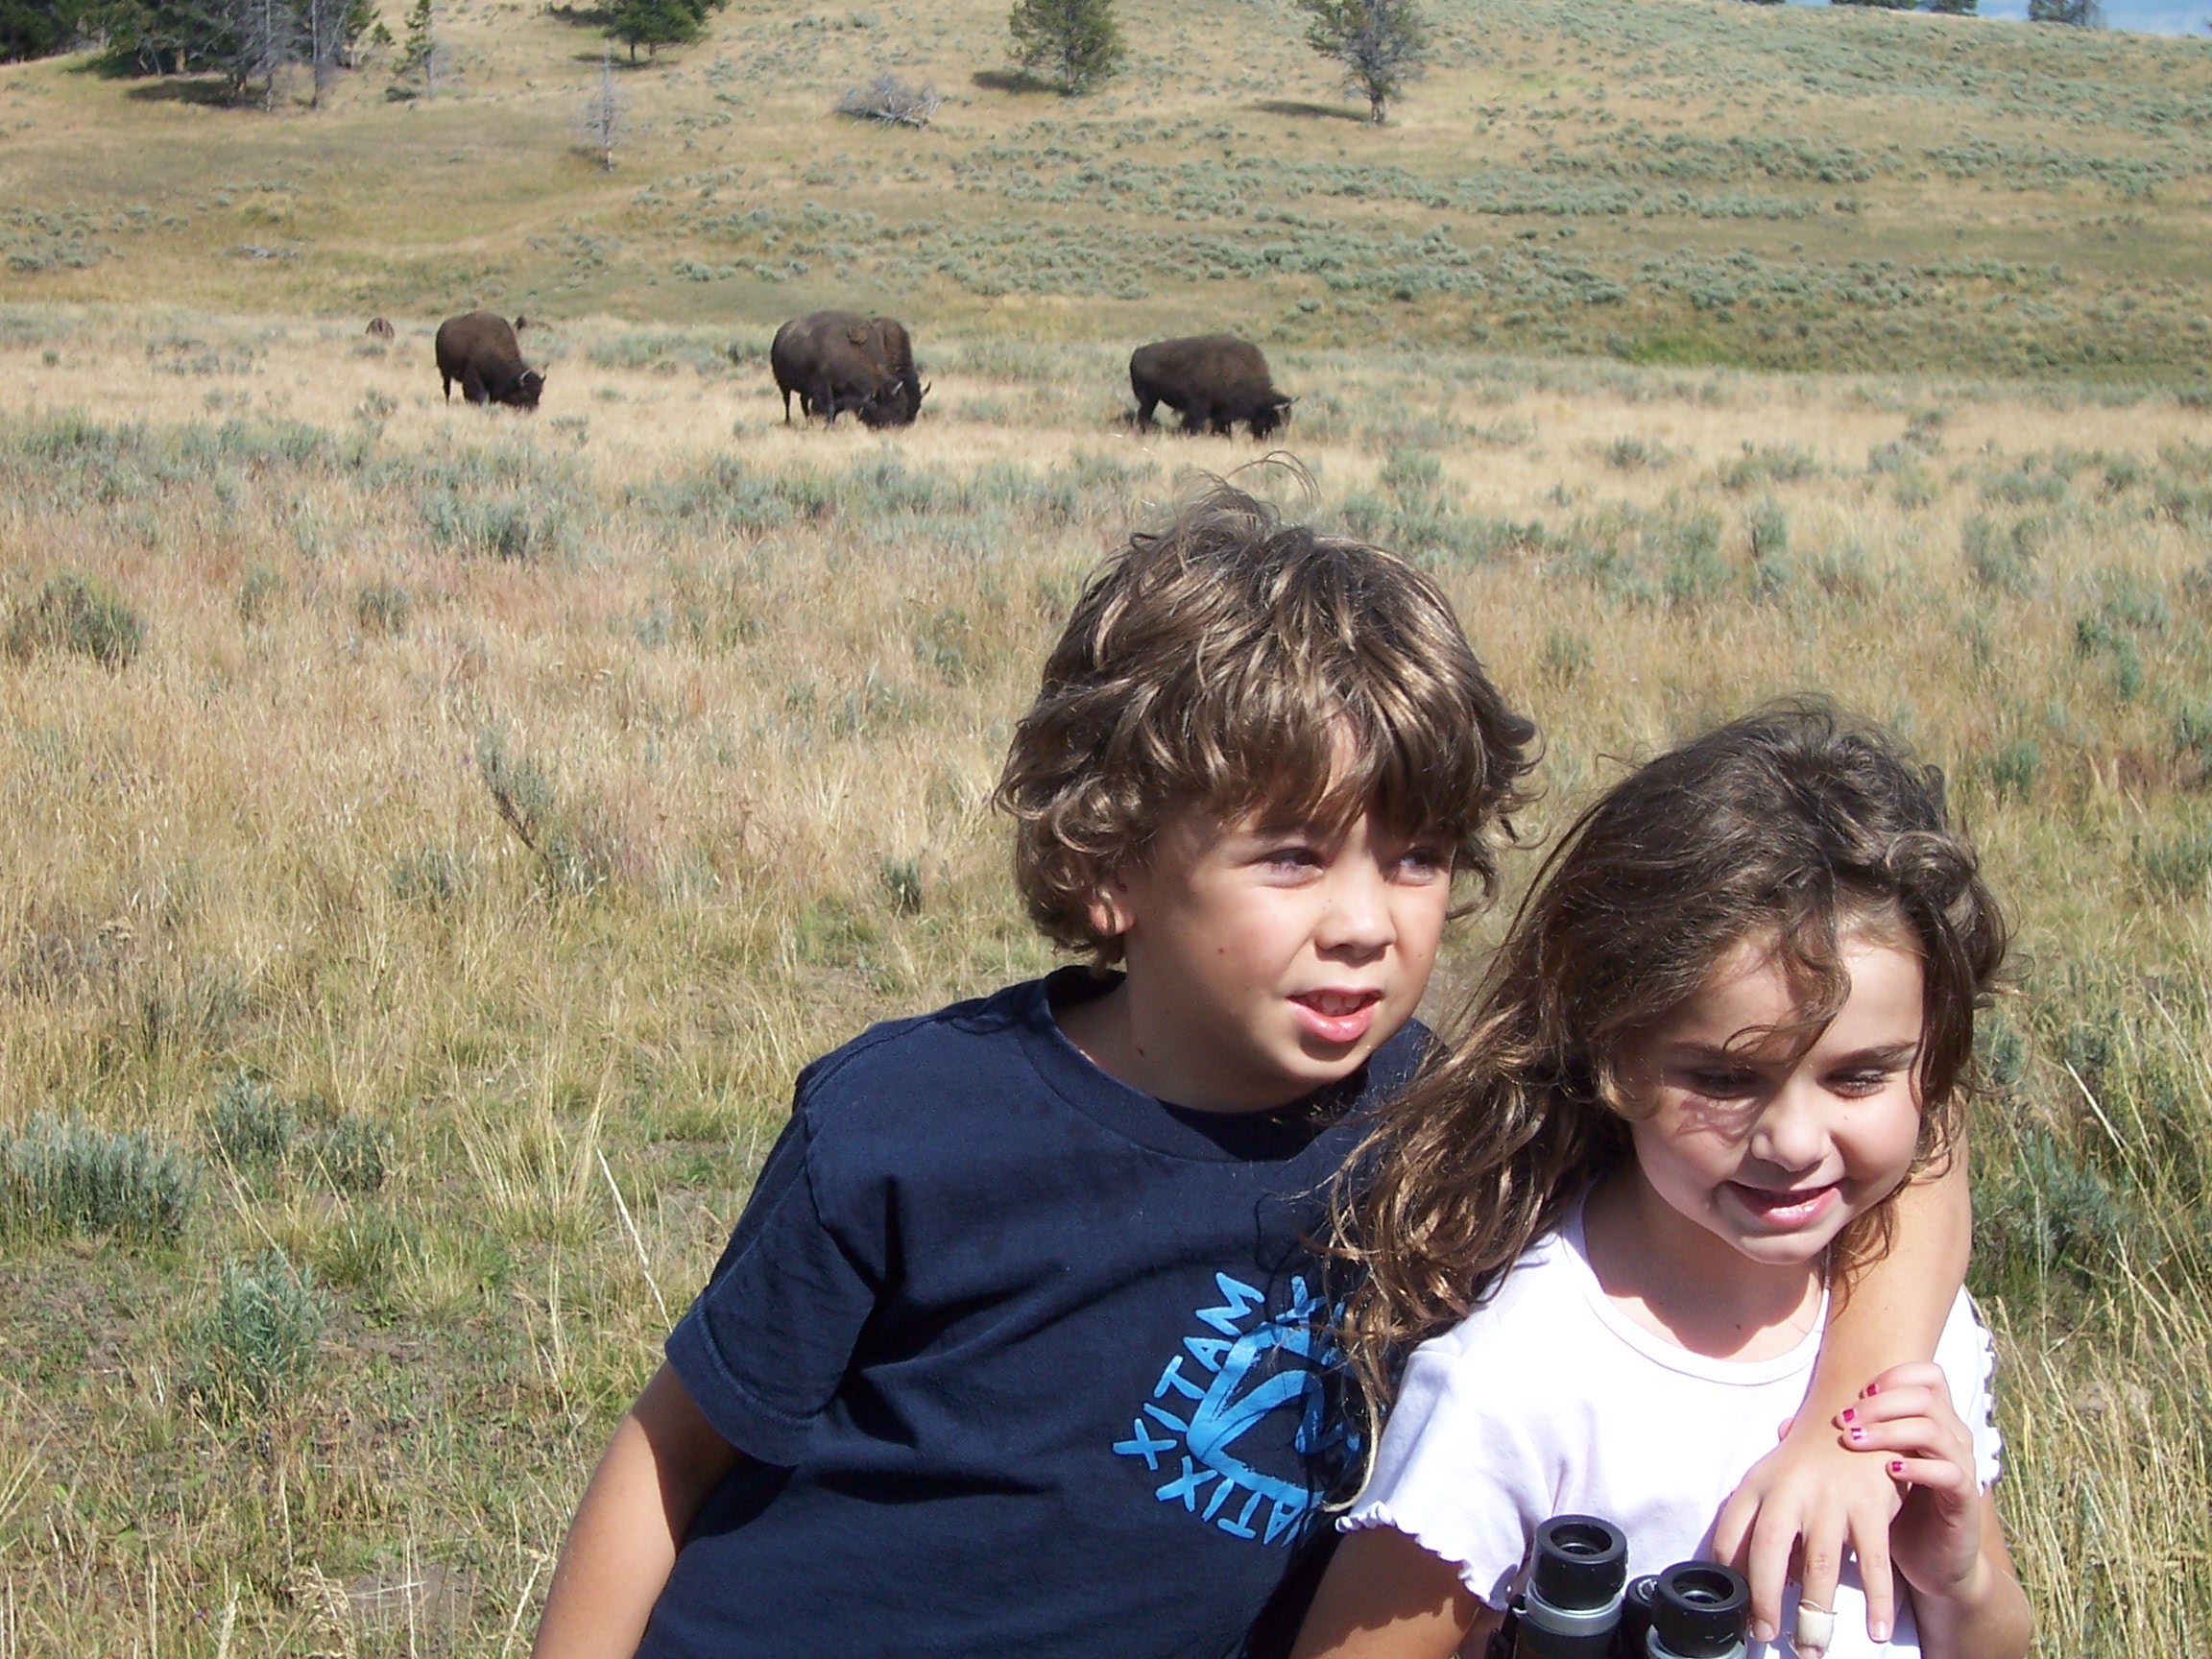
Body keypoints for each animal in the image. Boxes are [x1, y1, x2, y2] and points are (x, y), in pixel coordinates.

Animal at [769, 311, 925, 428]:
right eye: (896, 407)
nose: (899, 427)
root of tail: (780, 333)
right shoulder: (823, 386)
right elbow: (829, 407)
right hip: (783, 383)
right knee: (787, 401)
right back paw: (788, 422)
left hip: (803, 390)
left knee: (803, 403)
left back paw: (809, 422)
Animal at [1132, 336, 1291, 442]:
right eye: (1269, 416)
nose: (1263, 438)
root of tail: (1138, 352)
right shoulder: (1199, 408)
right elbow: (1195, 424)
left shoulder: (1221, 412)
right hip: (1148, 399)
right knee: (1143, 416)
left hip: (1152, 399)